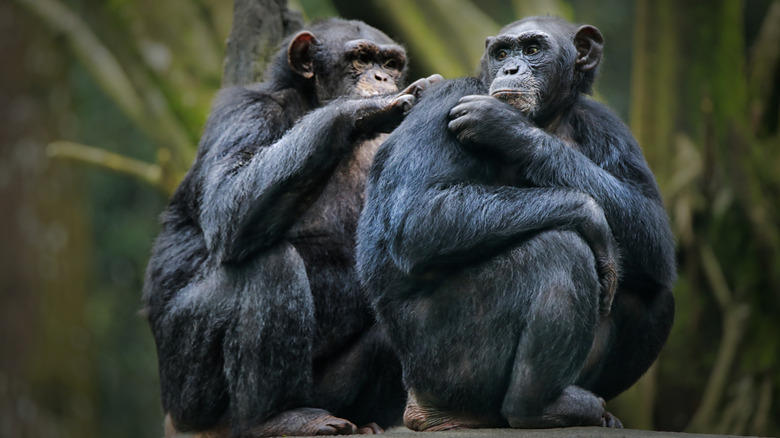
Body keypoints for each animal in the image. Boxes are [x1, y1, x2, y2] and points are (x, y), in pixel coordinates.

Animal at [143, 18, 442, 438]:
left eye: (391, 63)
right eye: (361, 58)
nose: (383, 78)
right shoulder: (245, 111)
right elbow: (227, 201)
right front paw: (366, 110)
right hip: (188, 390)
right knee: (269, 265)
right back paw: (278, 417)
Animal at [354, 15, 676, 430]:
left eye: (533, 49)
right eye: (503, 52)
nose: (510, 69)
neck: (548, 122)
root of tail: (420, 404)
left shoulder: (610, 126)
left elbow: (653, 229)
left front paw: (507, 127)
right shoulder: (448, 98)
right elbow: (419, 213)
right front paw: (589, 212)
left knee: (654, 292)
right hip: (449, 367)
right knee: (560, 249)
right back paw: (539, 407)